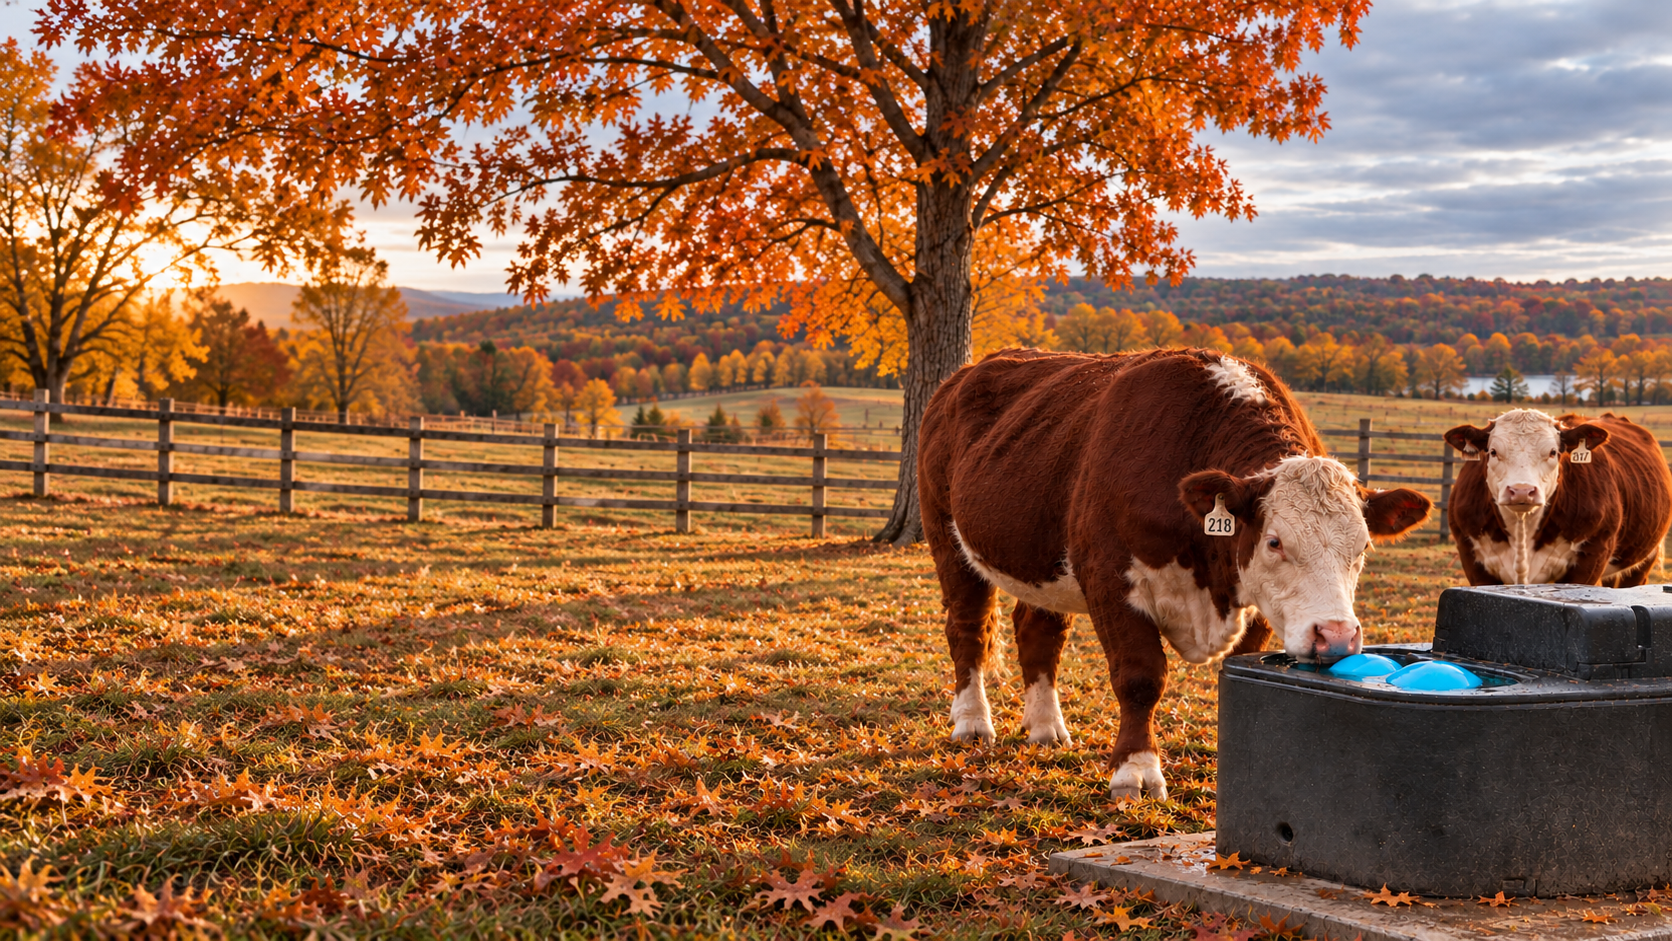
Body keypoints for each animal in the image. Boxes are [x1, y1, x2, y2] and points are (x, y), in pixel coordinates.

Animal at [919, 348, 1432, 799]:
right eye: (1274, 542)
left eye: (1362, 546)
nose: (1337, 637)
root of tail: (960, 377)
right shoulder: (1109, 580)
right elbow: (1140, 677)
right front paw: (1136, 770)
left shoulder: (1259, 606)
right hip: (947, 539)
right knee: (967, 628)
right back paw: (972, 721)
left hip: (1043, 563)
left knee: (1037, 634)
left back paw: (1045, 727)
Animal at [1443, 409, 1672, 586]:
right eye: (1492, 452)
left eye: (1553, 452)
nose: (1521, 491)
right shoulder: (1472, 560)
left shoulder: (1592, 557)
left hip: (1644, 558)